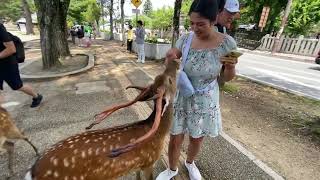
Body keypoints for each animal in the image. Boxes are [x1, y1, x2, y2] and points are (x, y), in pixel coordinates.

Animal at [24, 59, 180, 180]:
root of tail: (32, 172)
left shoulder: (138, 165)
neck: (159, 133)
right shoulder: (149, 162)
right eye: (170, 80)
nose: (174, 61)